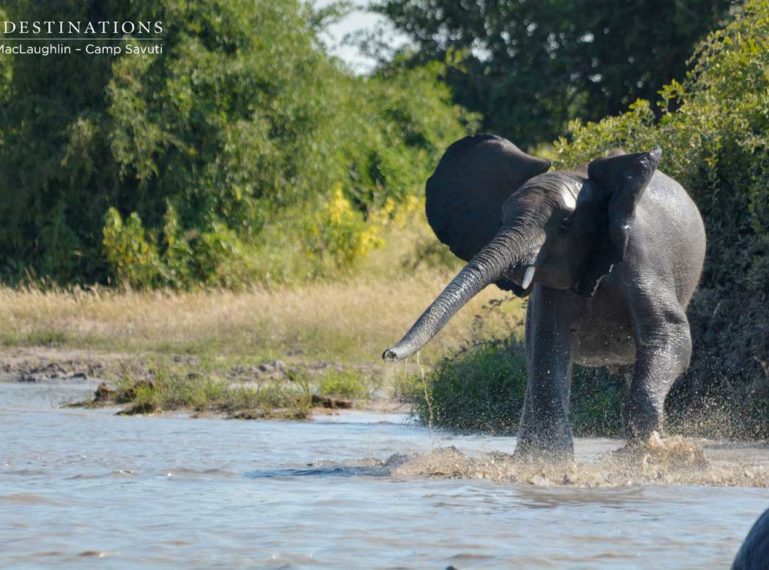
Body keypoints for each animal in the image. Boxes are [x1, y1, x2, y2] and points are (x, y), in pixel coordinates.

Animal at [380, 135, 704, 460]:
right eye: (501, 218)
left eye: (564, 225)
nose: (388, 354)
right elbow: (549, 347)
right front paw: (552, 461)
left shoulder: (642, 260)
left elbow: (670, 335)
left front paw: (647, 451)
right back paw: (523, 459)